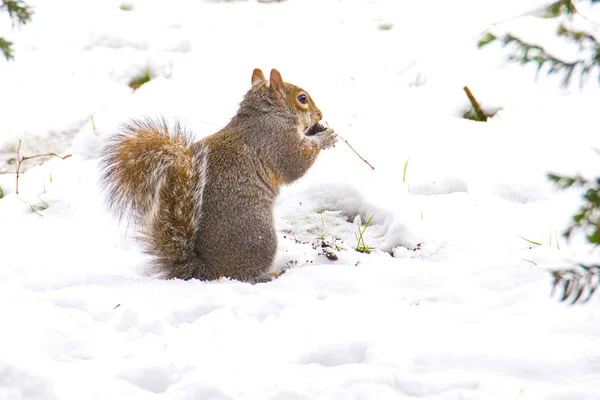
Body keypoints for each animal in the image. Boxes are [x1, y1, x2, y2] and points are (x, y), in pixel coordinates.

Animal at [101, 69, 340, 282]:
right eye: (302, 98)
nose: (320, 115)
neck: (268, 113)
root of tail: (206, 270)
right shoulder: (277, 141)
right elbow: (296, 163)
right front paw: (326, 137)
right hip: (260, 237)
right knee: (245, 275)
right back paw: (274, 273)